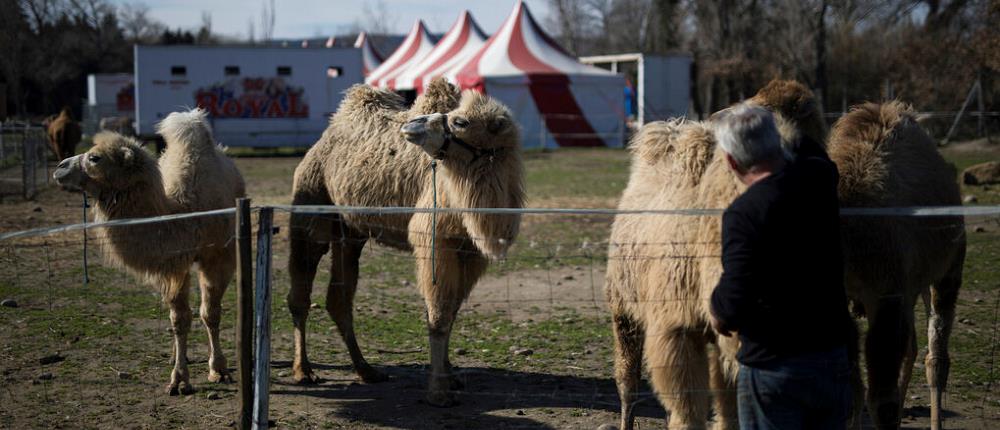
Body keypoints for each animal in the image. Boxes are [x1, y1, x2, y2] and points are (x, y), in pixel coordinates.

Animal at [52, 109, 246, 394]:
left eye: (95, 158)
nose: (59, 167)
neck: (183, 212)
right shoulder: (172, 265)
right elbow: (179, 319)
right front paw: (179, 378)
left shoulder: (217, 258)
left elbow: (210, 313)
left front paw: (218, 369)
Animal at [288, 78, 528, 406]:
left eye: (461, 121)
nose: (413, 125)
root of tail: (322, 140)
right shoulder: (436, 241)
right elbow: (438, 315)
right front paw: (438, 391)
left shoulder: (470, 251)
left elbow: (451, 311)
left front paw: (451, 376)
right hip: (311, 206)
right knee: (300, 293)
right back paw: (304, 371)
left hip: (351, 232)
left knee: (339, 298)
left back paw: (367, 370)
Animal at [824, 101, 964, 430]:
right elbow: (850, 392)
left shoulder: (886, 292)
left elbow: (881, 400)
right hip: (911, 285)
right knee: (912, 346)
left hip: (948, 269)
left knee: (936, 355)